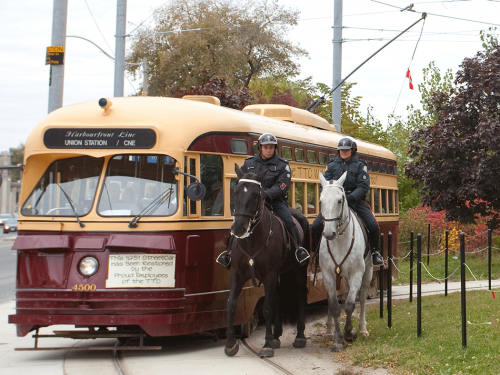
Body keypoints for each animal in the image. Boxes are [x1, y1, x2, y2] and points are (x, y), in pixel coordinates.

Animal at [224, 165, 308, 358]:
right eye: (235, 192)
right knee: (277, 296)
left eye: (256, 195)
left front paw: (267, 345)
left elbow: (267, 308)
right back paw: (276, 336)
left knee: (301, 294)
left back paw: (299, 336)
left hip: (299, 270)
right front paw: (230, 344)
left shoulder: (269, 274)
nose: (238, 228)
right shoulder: (238, 273)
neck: (252, 239)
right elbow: (231, 304)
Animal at [318, 171, 374, 352]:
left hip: (368, 272)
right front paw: (337, 339)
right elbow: (335, 306)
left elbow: (349, 304)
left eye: (340, 200)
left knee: (361, 298)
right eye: (321, 201)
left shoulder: (357, 273)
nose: (329, 233)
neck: (340, 241)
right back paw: (329, 331)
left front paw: (350, 333)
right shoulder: (328, 274)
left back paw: (363, 329)